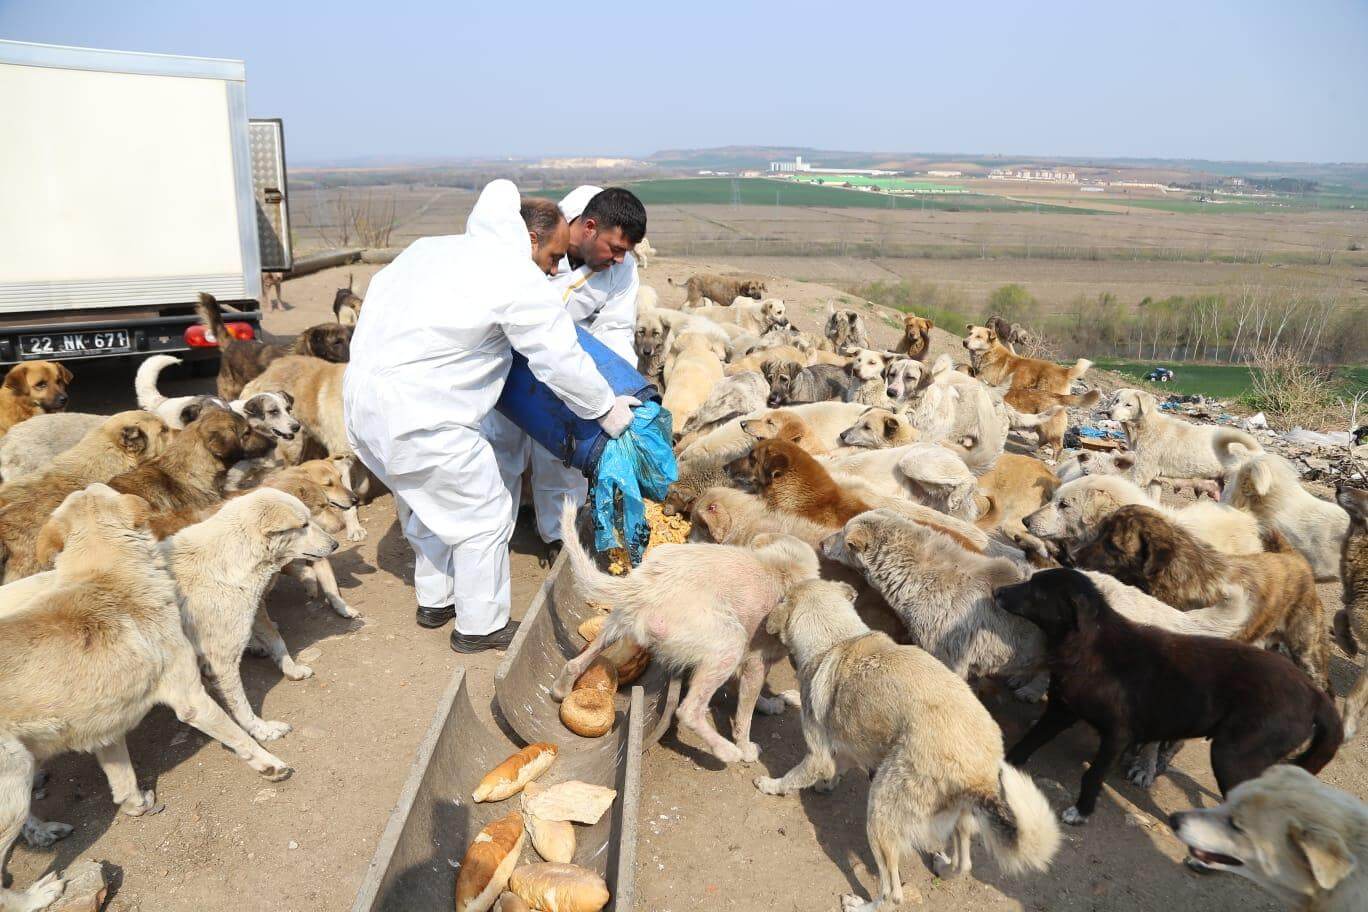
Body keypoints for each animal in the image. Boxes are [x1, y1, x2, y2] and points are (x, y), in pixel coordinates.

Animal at [990, 566, 1340, 825]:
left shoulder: (1118, 734)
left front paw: (1082, 811)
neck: (1089, 645)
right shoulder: (1060, 711)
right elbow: (1027, 742)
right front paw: (1002, 766)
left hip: (1232, 755)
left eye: (1038, 592)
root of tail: (1315, 695)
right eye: (1030, 580)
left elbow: (1093, 775)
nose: (997, 592)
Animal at [1067, 503, 1324, 689]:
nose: (1071, 557)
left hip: (1307, 651)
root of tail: (1294, 557)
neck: (1186, 573)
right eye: (1099, 531)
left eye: (1112, 545)